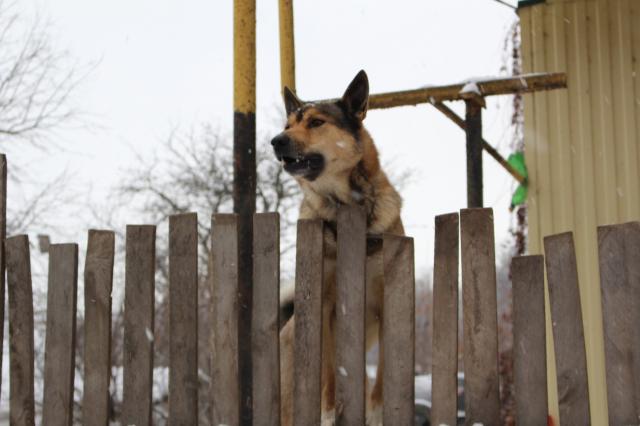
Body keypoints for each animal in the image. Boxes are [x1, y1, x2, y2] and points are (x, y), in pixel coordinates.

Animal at [272, 69, 404, 422]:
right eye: (288, 125)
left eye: (316, 122)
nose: (276, 140)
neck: (346, 204)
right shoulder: (326, 303)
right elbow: (330, 373)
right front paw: (329, 413)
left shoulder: (387, 304)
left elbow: (383, 374)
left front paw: (377, 412)